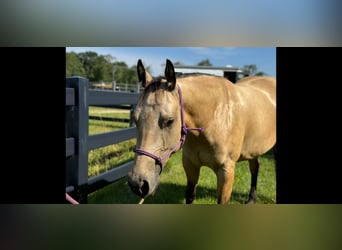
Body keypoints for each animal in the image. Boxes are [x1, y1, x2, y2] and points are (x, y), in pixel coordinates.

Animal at [127, 59, 276, 204]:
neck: (214, 117)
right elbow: (190, 196)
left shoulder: (226, 171)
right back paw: (251, 199)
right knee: (255, 167)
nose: (137, 184)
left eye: (169, 121)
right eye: (135, 118)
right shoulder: (191, 165)